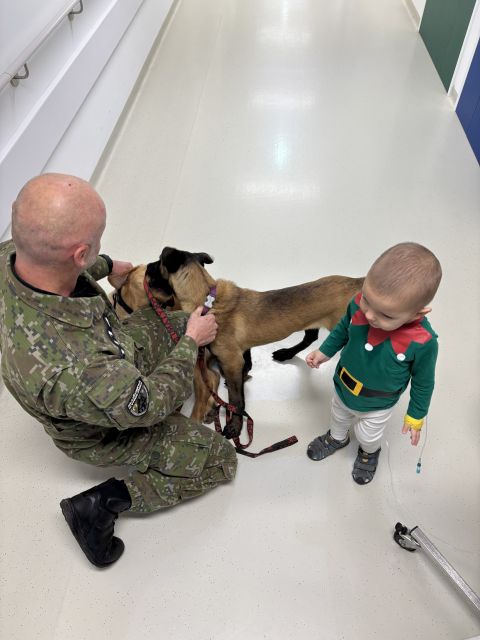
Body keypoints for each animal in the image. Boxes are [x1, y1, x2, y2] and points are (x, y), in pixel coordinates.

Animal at [145, 247, 365, 438]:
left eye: (157, 262)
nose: (146, 266)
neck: (208, 300)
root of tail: (357, 282)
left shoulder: (232, 361)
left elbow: (236, 399)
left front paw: (235, 425)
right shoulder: (241, 353)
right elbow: (242, 376)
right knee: (310, 338)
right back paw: (286, 353)